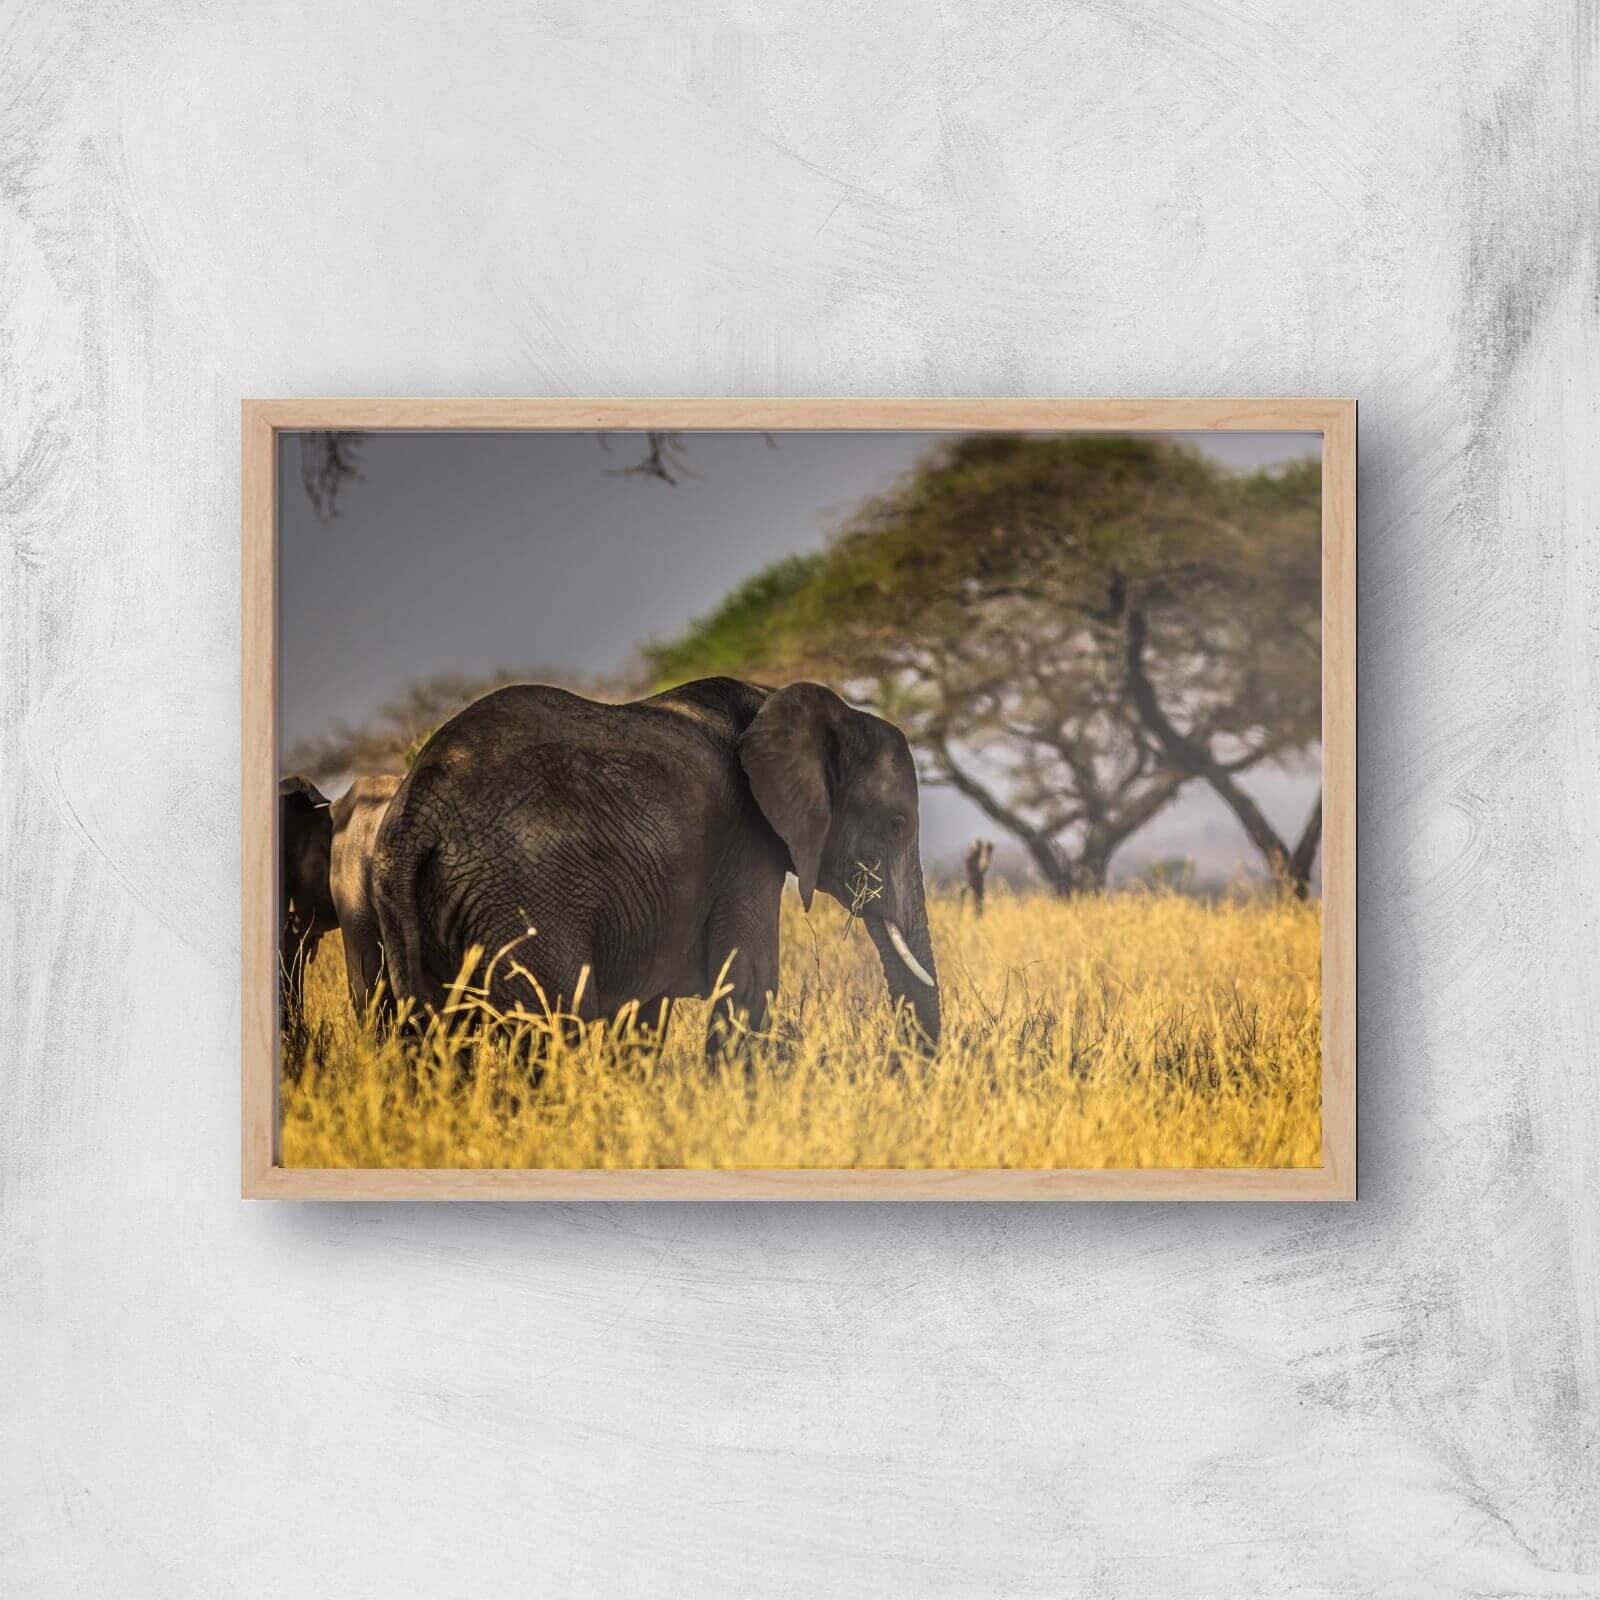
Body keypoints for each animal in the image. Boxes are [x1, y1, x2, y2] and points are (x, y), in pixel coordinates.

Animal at [370, 676, 940, 1056]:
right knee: (556, 1026)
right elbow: (749, 981)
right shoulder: (747, 843)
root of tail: (419, 809)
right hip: (520, 897)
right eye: (895, 824)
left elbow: (645, 1011)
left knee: (430, 1034)